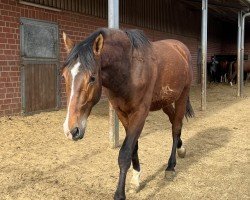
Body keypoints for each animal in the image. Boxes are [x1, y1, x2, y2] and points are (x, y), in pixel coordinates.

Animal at [61, 27, 194, 199]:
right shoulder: (122, 114)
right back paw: (181, 148)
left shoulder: (139, 114)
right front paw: (136, 179)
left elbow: (124, 153)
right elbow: (133, 148)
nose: (71, 130)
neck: (130, 69)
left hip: (182, 96)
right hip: (164, 101)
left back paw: (170, 167)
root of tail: (181, 48)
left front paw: (120, 193)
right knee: (173, 122)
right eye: (64, 75)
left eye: (92, 78)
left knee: (176, 127)